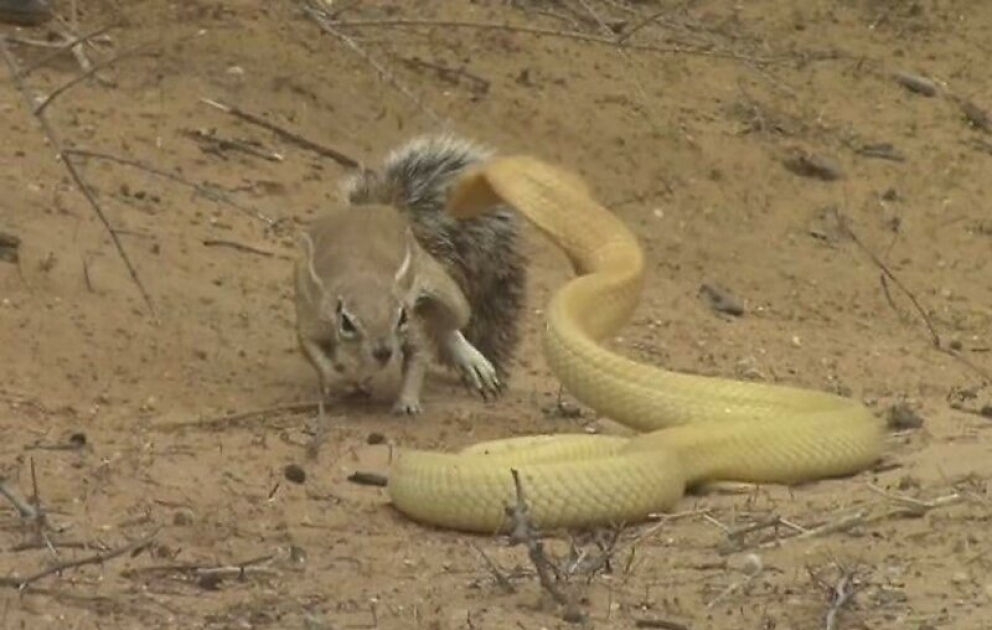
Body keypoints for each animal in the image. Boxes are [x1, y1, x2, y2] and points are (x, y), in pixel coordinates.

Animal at [293, 134, 528, 415]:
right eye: (347, 323)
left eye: (401, 317)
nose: (382, 352)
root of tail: (387, 211)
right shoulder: (315, 320)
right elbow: (316, 352)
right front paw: (339, 380)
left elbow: (418, 354)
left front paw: (406, 401)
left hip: (439, 283)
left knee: (447, 322)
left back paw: (470, 358)